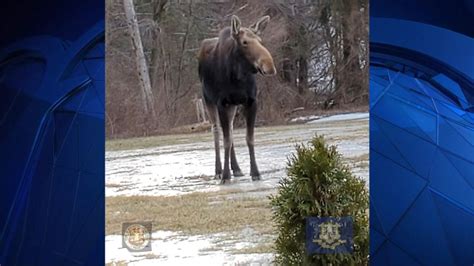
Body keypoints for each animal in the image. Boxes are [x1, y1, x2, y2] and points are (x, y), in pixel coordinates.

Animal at [197, 15, 278, 184]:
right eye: (244, 42)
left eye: (260, 40)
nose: (269, 65)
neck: (238, 77)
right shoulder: (221, 103)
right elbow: (226, 140)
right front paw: (225, 176)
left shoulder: (251, 101)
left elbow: (249, 138)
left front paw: (255, 172)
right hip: (208, 100)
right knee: (216, 130)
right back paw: (218, 171)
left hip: (233, 105)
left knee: (231, 129)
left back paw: (237, 168)